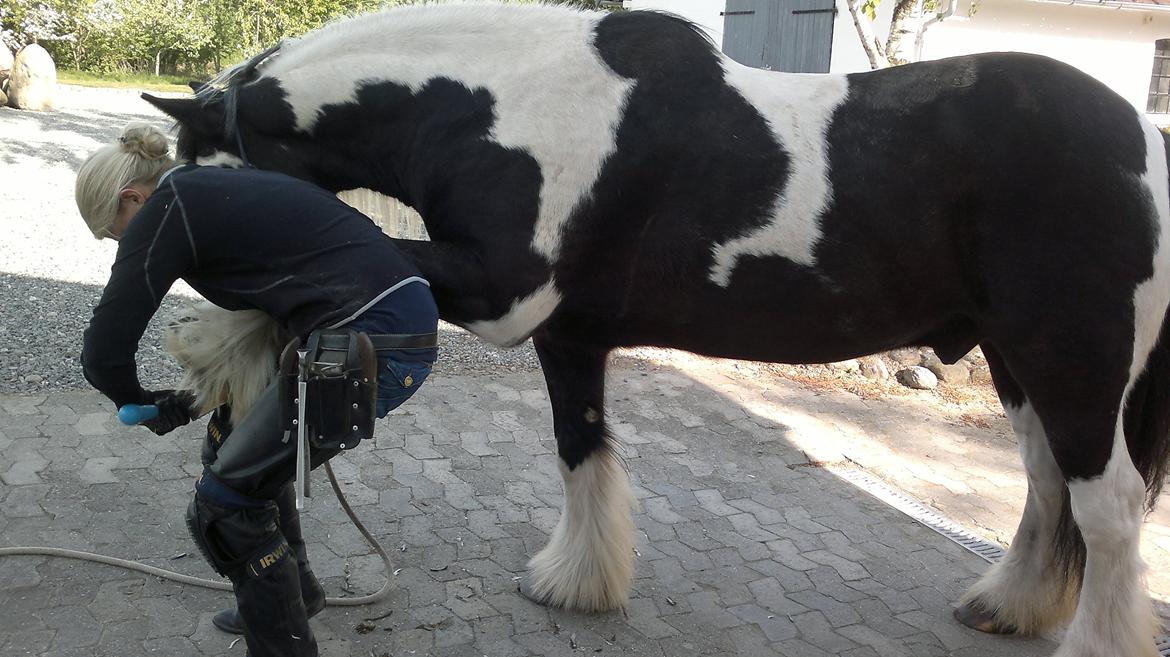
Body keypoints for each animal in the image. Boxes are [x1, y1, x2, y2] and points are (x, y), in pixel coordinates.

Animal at [141, 3, 1170, 649]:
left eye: (203, 163)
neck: (502, 108)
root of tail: (1143, 141)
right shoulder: (567, 336)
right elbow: (580, 447)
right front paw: (576, 583)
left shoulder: (501, 293)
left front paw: (210, 345)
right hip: (1016, 360)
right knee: (1048, 486)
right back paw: (1008, 605)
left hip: (1073, 362)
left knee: (1109, 509)